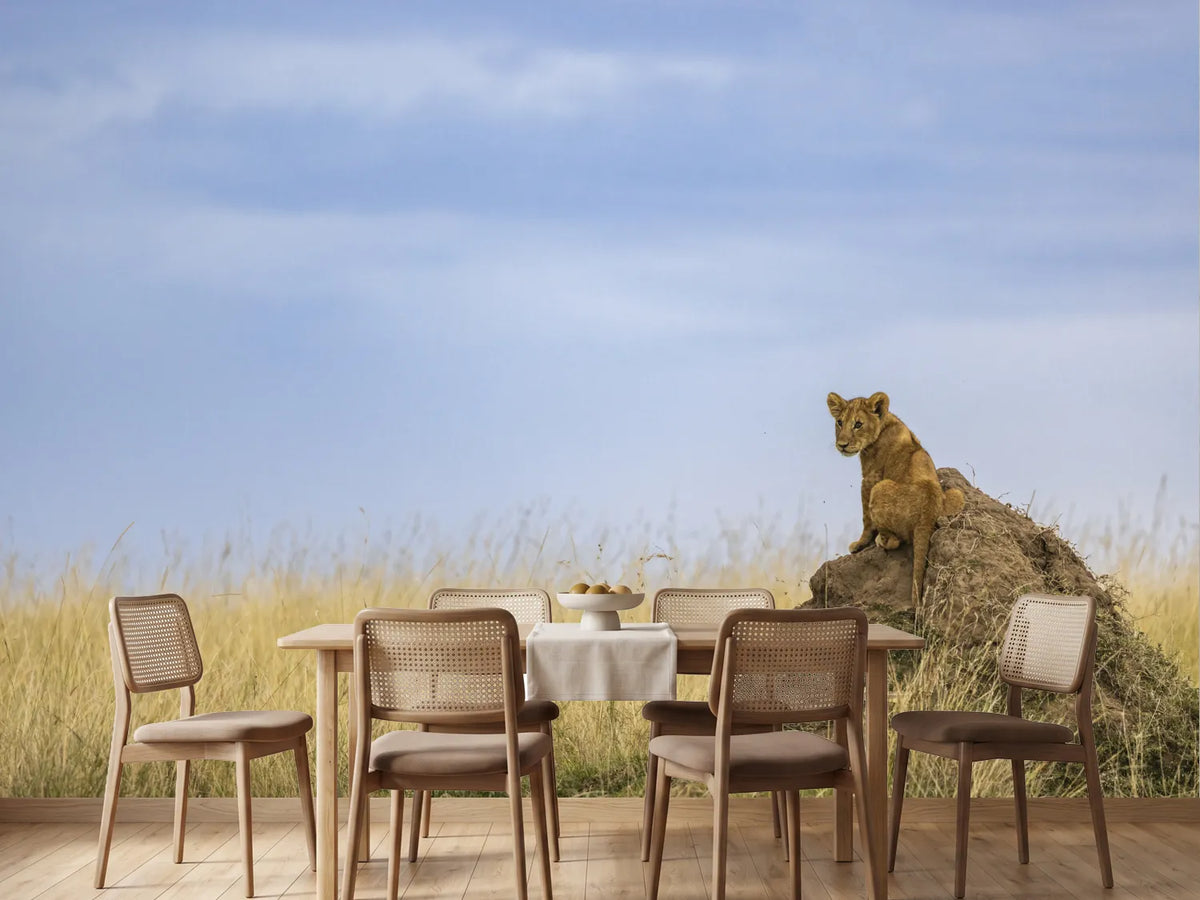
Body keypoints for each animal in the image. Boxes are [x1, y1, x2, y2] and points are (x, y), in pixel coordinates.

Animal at [826, 391, 964, 607]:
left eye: (858, 424)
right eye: (839, 422)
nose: (842, 445)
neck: (885, 424)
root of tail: (928, 511)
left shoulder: (870, 478)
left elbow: (866, 518)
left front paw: (859, 544)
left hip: (880, 488)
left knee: (895, 542)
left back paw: (881, 541)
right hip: (957, 494)